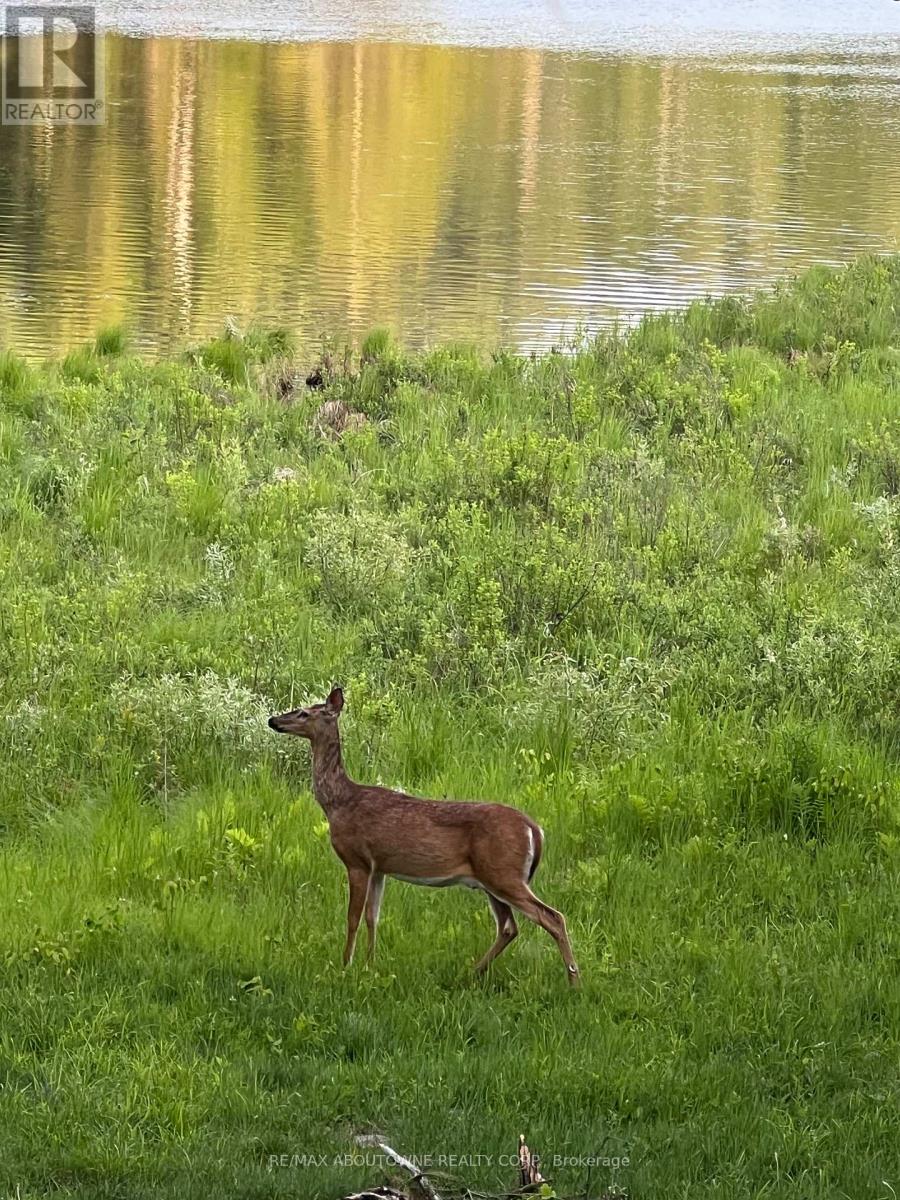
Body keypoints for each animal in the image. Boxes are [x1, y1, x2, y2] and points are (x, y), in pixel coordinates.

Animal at [267, 686, 580, 984]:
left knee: (552, 917)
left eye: (304, 713)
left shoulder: (356, 860)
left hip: (504, 874)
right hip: (492, 879)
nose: (273, 720)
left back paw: (573, 981)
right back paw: (472, 973)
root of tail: (535, 829)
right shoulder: (379, 867)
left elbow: (352, 918)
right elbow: (373, 917)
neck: (339, 803)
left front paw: (345, 966)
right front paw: (370, 966)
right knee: (509, 926)